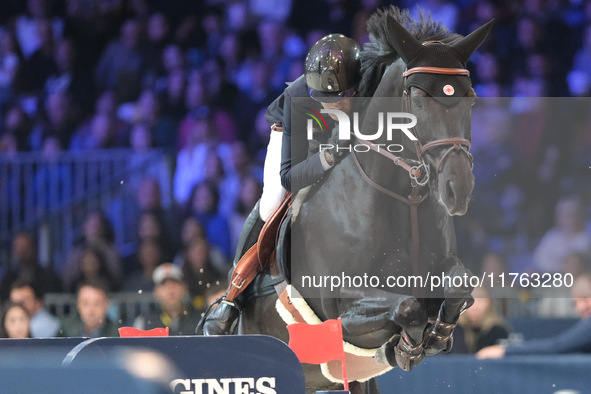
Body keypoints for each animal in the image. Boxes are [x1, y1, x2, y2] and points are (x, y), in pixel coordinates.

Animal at [238, 6, 492, 394]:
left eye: (471, 97)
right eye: (418, 99)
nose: (457, 189)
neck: (404, 198)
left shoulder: (442, 269)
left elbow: (459, 286)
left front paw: (436, 337)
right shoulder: (340, 308)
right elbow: (407, 307)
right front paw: (405, 348)